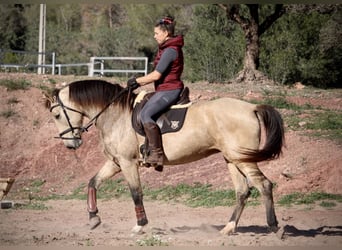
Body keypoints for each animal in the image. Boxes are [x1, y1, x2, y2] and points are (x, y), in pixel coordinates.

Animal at [46, 79, 286, 235]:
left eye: (56, 115)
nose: (70, 144)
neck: (116, 115)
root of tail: (251, 107)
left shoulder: (128, 163)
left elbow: (136, 193)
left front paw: (140, 225)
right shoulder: (116, 163)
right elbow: (93, 182)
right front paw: (94, 217)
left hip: (242, 159)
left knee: (264, 185)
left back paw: (274, 226)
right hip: (232, 160)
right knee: (242, 191)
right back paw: (228, 228)